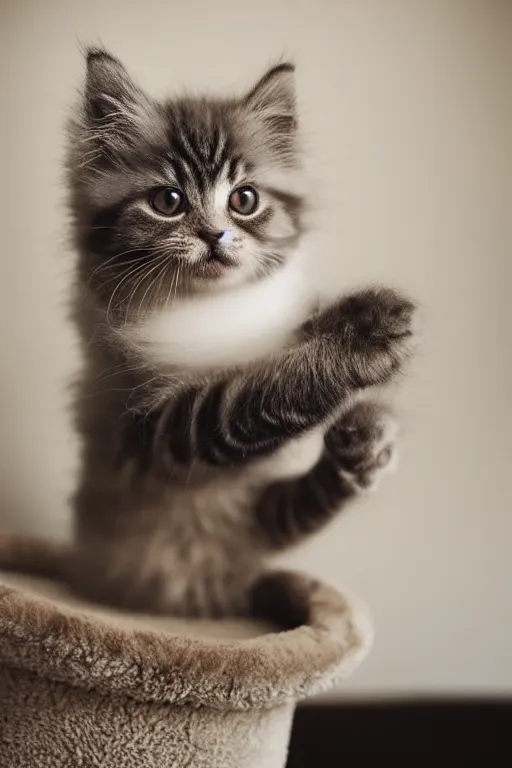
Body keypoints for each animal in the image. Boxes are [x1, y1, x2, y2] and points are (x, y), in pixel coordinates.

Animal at [0, 49, 416, 624]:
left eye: (244, 200)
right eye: (168, 200)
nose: (215, 235)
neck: (209, 308)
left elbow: (283, 352)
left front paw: (351, 317)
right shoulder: (153, 432)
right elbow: (255, 393)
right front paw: (363, 339)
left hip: (258, 517)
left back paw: (361, 443)